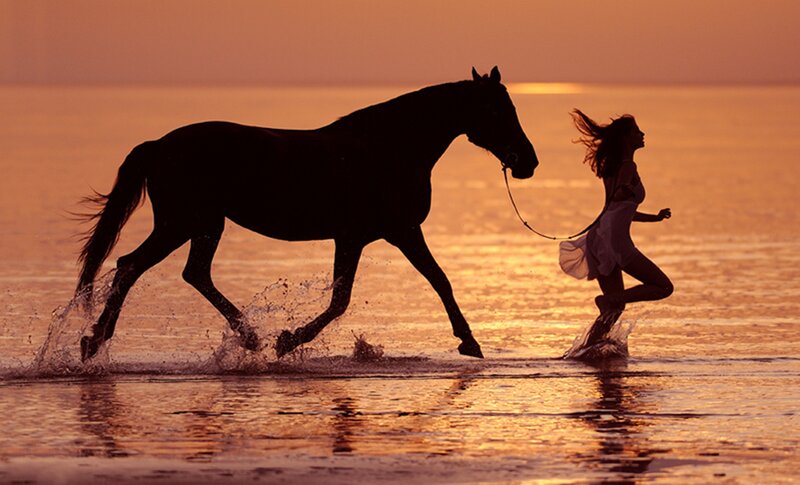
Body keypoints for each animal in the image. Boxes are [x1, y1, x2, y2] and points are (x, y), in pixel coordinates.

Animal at [75, 66, 538, 362]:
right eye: (498, 111)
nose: (528, 162)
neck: (389, 148)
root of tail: (158, 145)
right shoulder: (399, 231)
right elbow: (436, 281)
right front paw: (469, 341)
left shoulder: (356, 237)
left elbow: (342, 299)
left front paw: (286, 340)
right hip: (184, 223)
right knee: (131, 265)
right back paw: (95, 341)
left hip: (204, 224)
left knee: (191, 273)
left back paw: (247, 337)